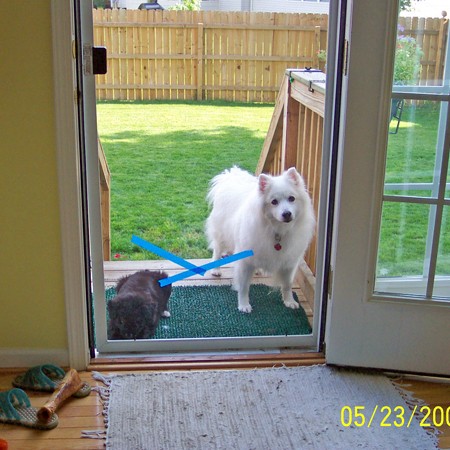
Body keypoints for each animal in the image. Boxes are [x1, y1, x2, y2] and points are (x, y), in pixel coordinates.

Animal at [206, 166, 314, 312]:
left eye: (292, 198)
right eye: (274, 202)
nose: (287, 214)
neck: (277, 230)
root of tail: (231, 177)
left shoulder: (289, 262)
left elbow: (287, 284)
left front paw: (289, 301)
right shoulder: (245, 261)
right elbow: (244, 286)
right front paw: (244, 305)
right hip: (221, 235)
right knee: (217, 251)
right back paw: (216, 270)